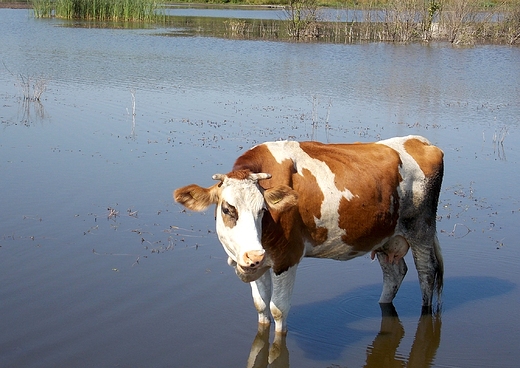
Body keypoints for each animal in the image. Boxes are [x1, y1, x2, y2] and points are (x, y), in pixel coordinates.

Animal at [174, 135, 442, 334]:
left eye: (263, 210)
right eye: (228, 209)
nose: (254, 255)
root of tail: (422, 141)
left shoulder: (287, 258)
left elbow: (278, 310)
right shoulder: (262, 264)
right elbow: (261, 307)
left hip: (421, 228)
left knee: (427, 272)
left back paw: (425, 310)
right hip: (385, 237)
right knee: (395, 272)